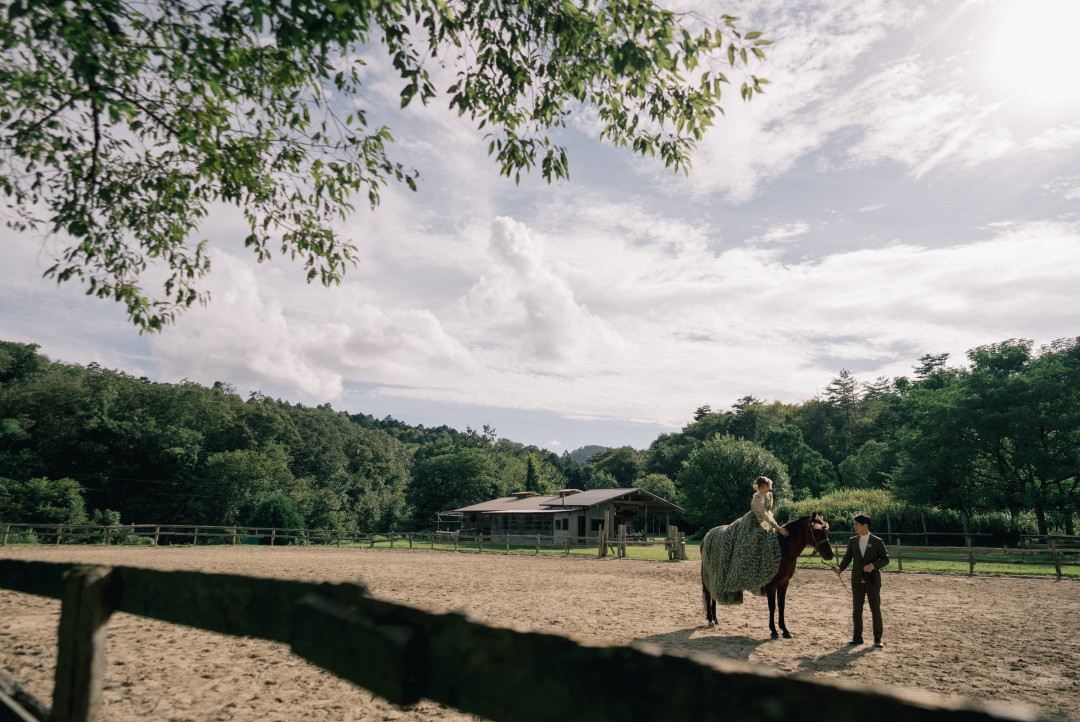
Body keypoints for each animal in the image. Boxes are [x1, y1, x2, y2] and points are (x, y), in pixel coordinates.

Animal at [699, 509, 833, 638]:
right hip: (709, 574)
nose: (830, 554)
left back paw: (715, 619)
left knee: (714, 595)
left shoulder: (784, 583)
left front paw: (785, 630)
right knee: (709, 595)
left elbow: (781, 605)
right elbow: (772, 606)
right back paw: (710, 620)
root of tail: (707, 536)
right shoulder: (771, 584)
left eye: (826, 531)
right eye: (817, 531)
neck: (783, 548)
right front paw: (773, 631)